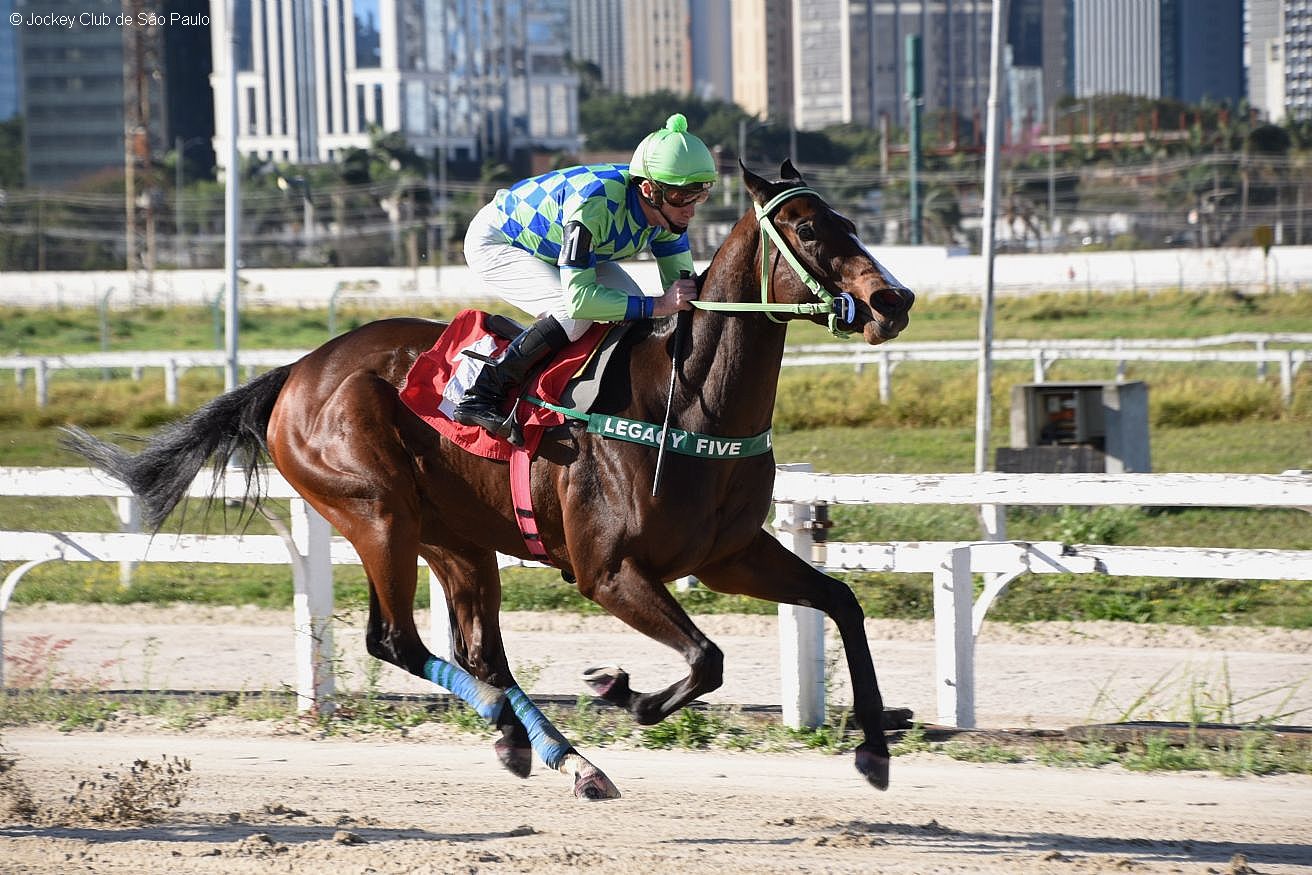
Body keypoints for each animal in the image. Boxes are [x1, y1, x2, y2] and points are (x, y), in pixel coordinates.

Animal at [62, 160, 914, 799]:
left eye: (849, 220)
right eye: (808, 228)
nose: (892, 299)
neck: (692, 402)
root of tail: (296, 372)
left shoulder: (728, 555)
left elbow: (841, 602)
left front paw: (875, 744)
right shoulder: (610, 571)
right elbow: (706, 658)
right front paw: (624, 691)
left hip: (457, 538)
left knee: (483, 656)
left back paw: (557, 753)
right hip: (377, 513)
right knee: (395, 639)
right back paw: (525, 731)